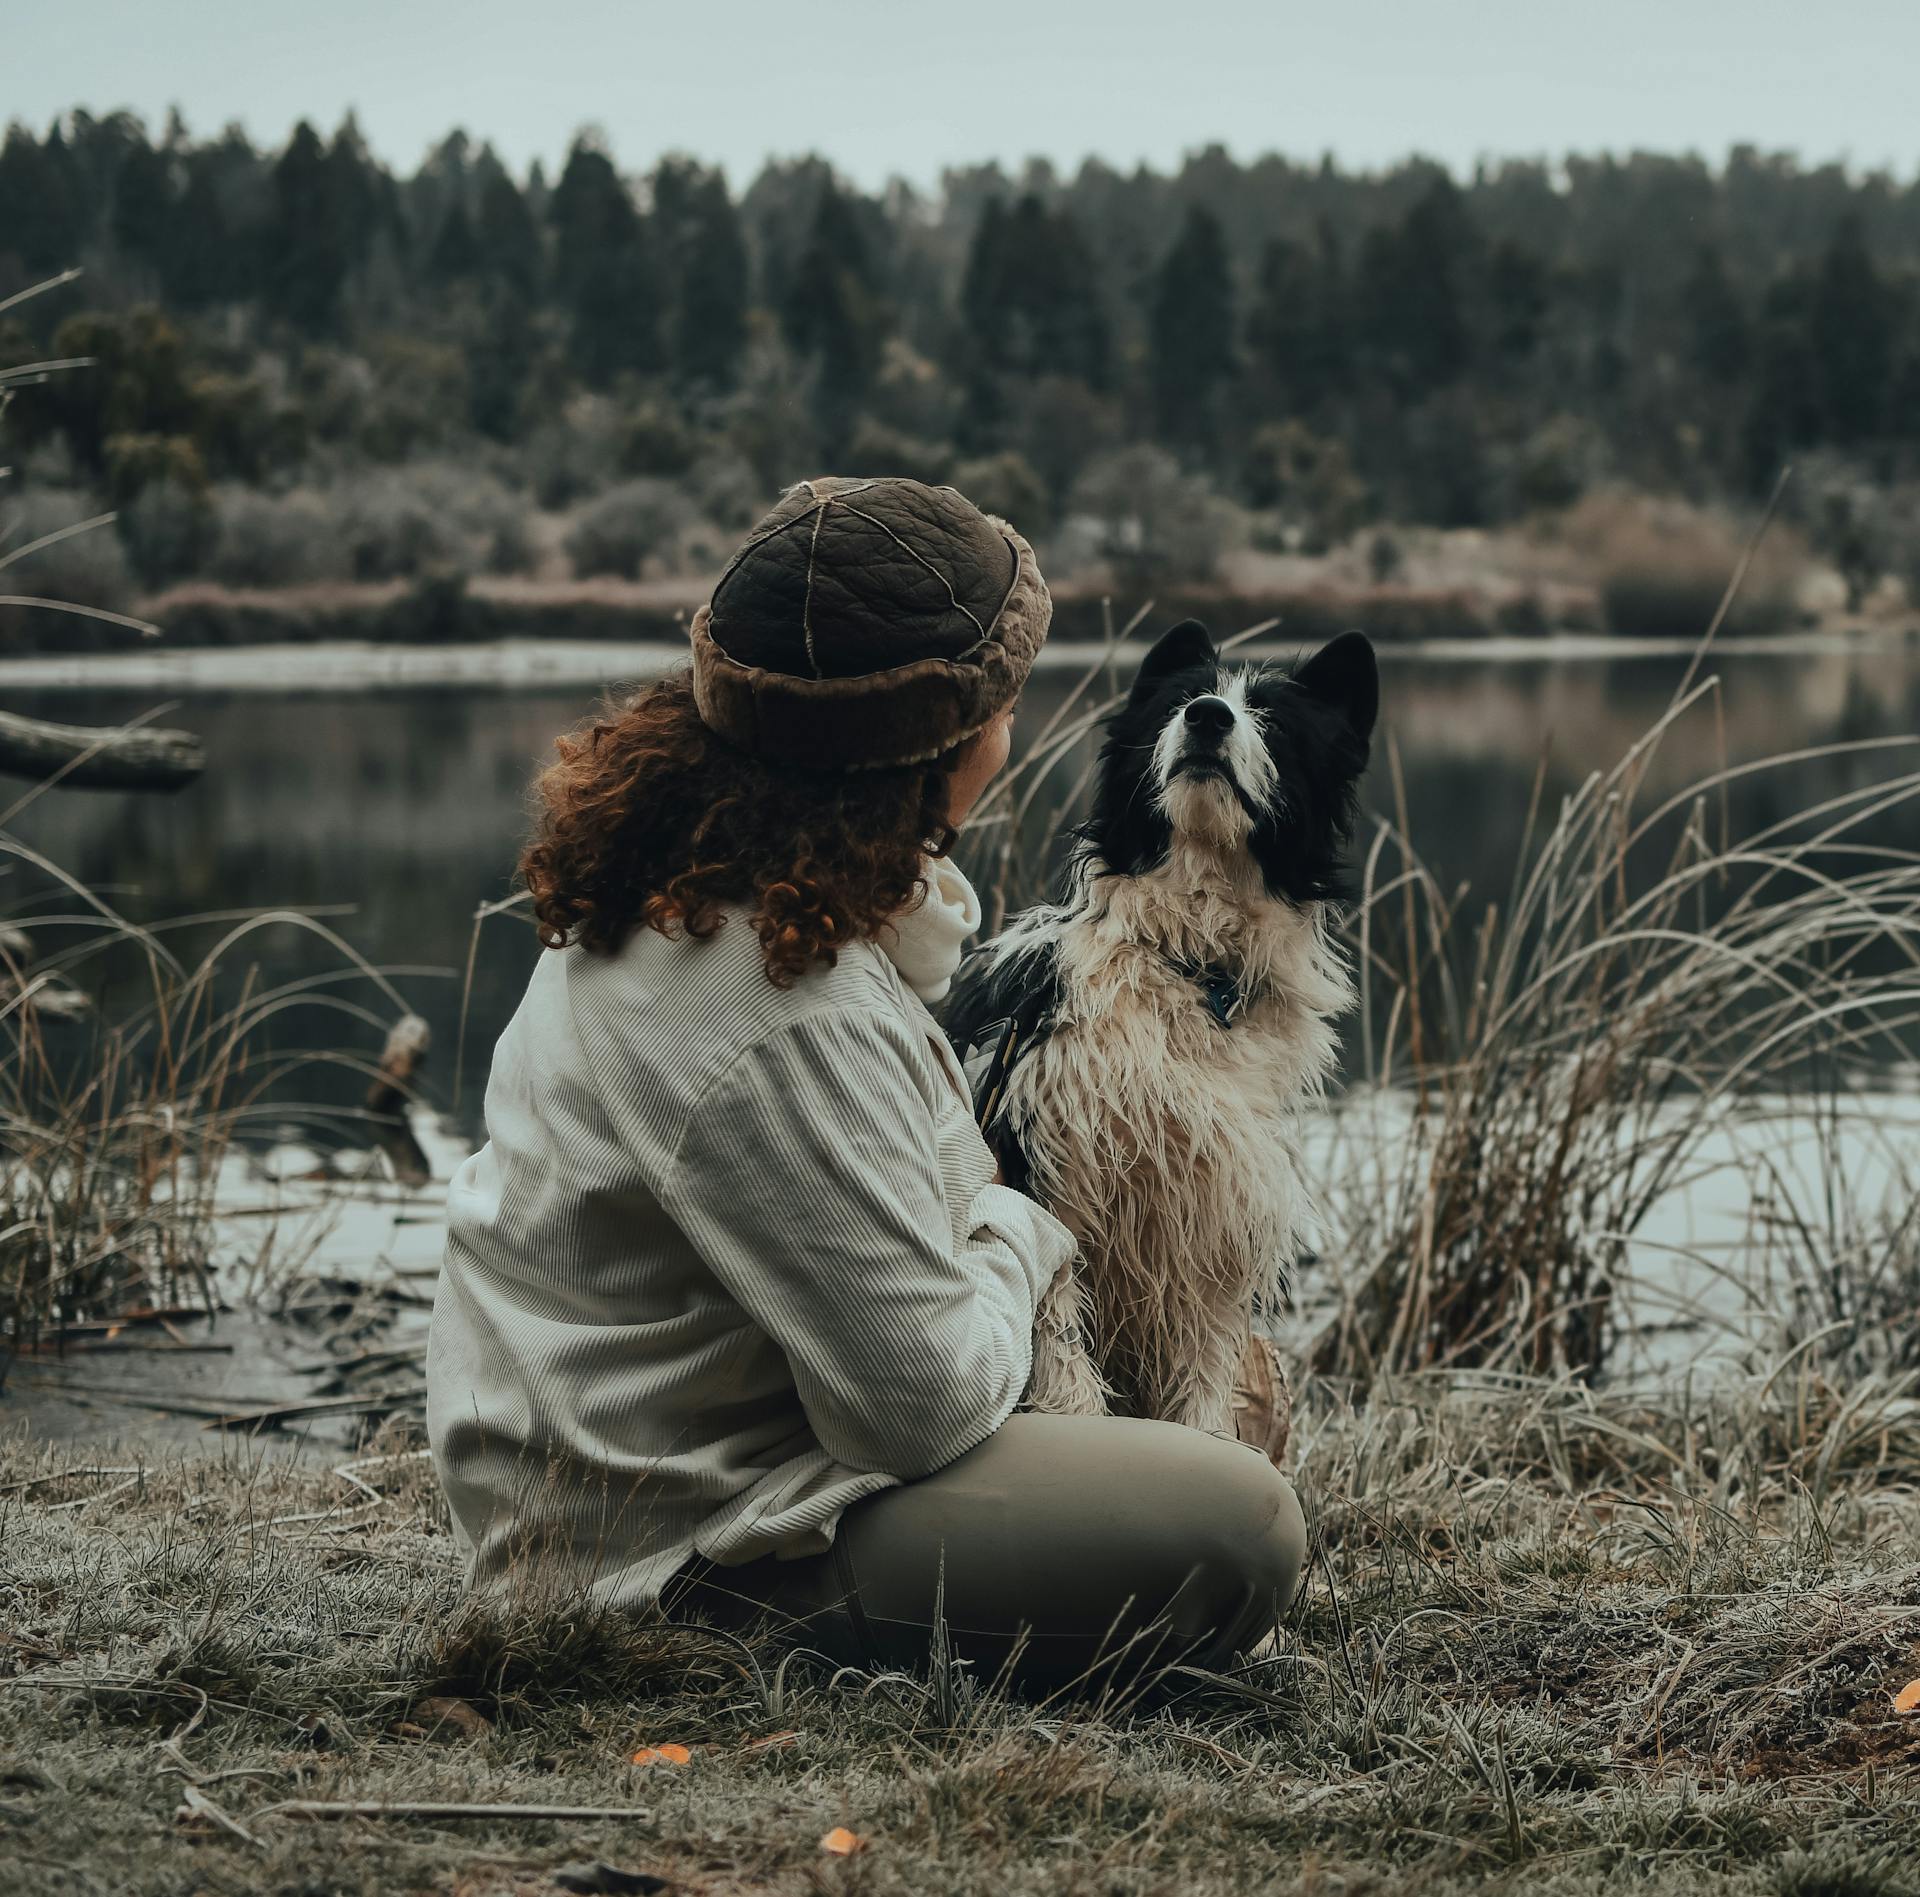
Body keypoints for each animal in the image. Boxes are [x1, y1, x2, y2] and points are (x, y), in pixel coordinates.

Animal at [948, 614, 1382, 1428]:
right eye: (1181, 701)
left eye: (1273, 721)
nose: (1208, 717)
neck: (1191, 961)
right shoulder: (1045, 1174)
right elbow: (1063, 1357)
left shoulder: (1213, 1222)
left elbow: (1202, 1392)